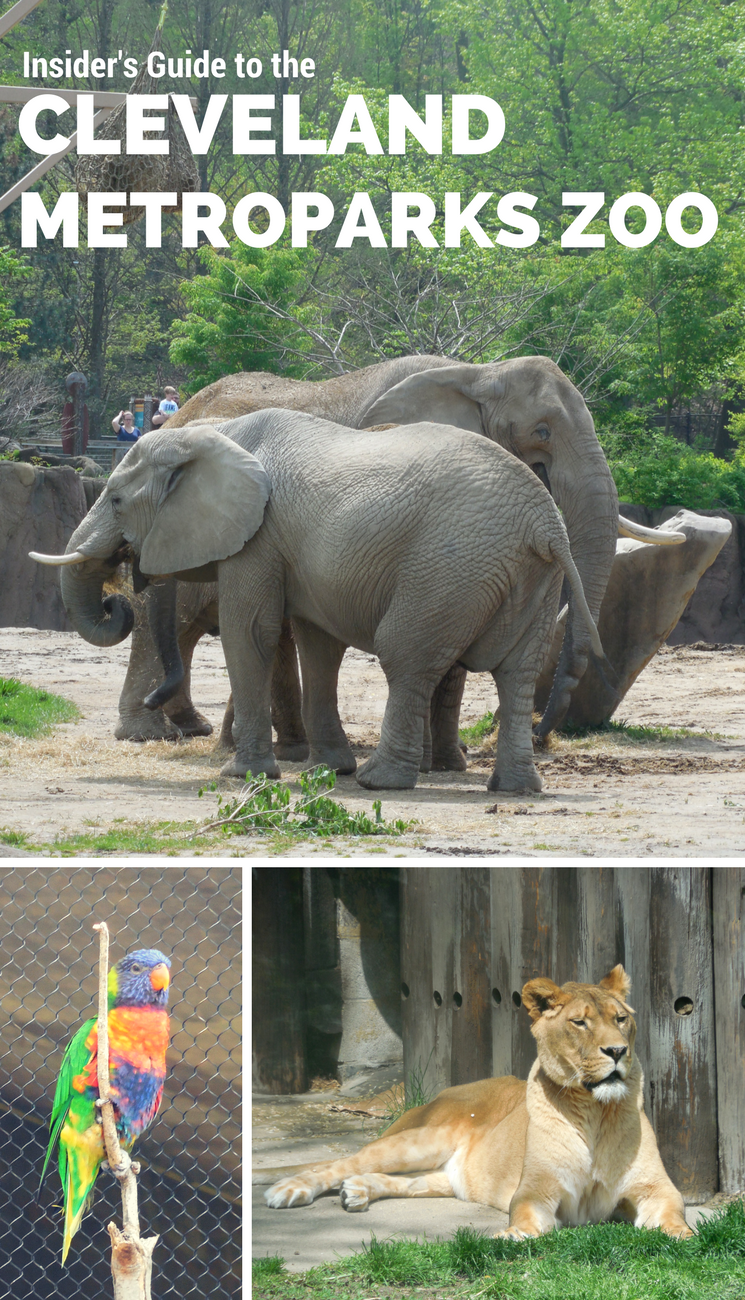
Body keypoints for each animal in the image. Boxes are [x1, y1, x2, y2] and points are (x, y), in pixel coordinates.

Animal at [33, 416, 603, 790]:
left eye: (115, 499)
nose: (119, 604)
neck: (215, 434)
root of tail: (546, 524)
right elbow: (318, 643)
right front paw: (328, 769)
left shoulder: (259, 537)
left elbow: (251, 632)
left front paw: (243, 775)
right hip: (528, 575)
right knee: (517, 674)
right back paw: (514, 788)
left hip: (450, 568)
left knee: (407, 656)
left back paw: (380, 782)